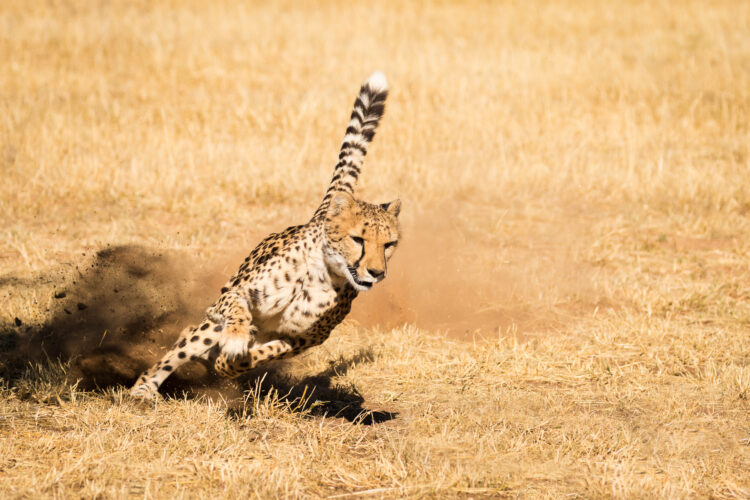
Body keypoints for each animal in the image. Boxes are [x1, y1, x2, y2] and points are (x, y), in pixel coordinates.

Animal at [130, 71, 400, 400]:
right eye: (358, 240)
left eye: (389, 244)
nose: (376, 272)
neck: (322, 273)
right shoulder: (232, 297)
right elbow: (236, 315)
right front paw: (234, 340)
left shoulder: (301, 340)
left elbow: (256, 356)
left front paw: (230, 361)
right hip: (211, 317)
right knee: (185, 343)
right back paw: (144, 387)